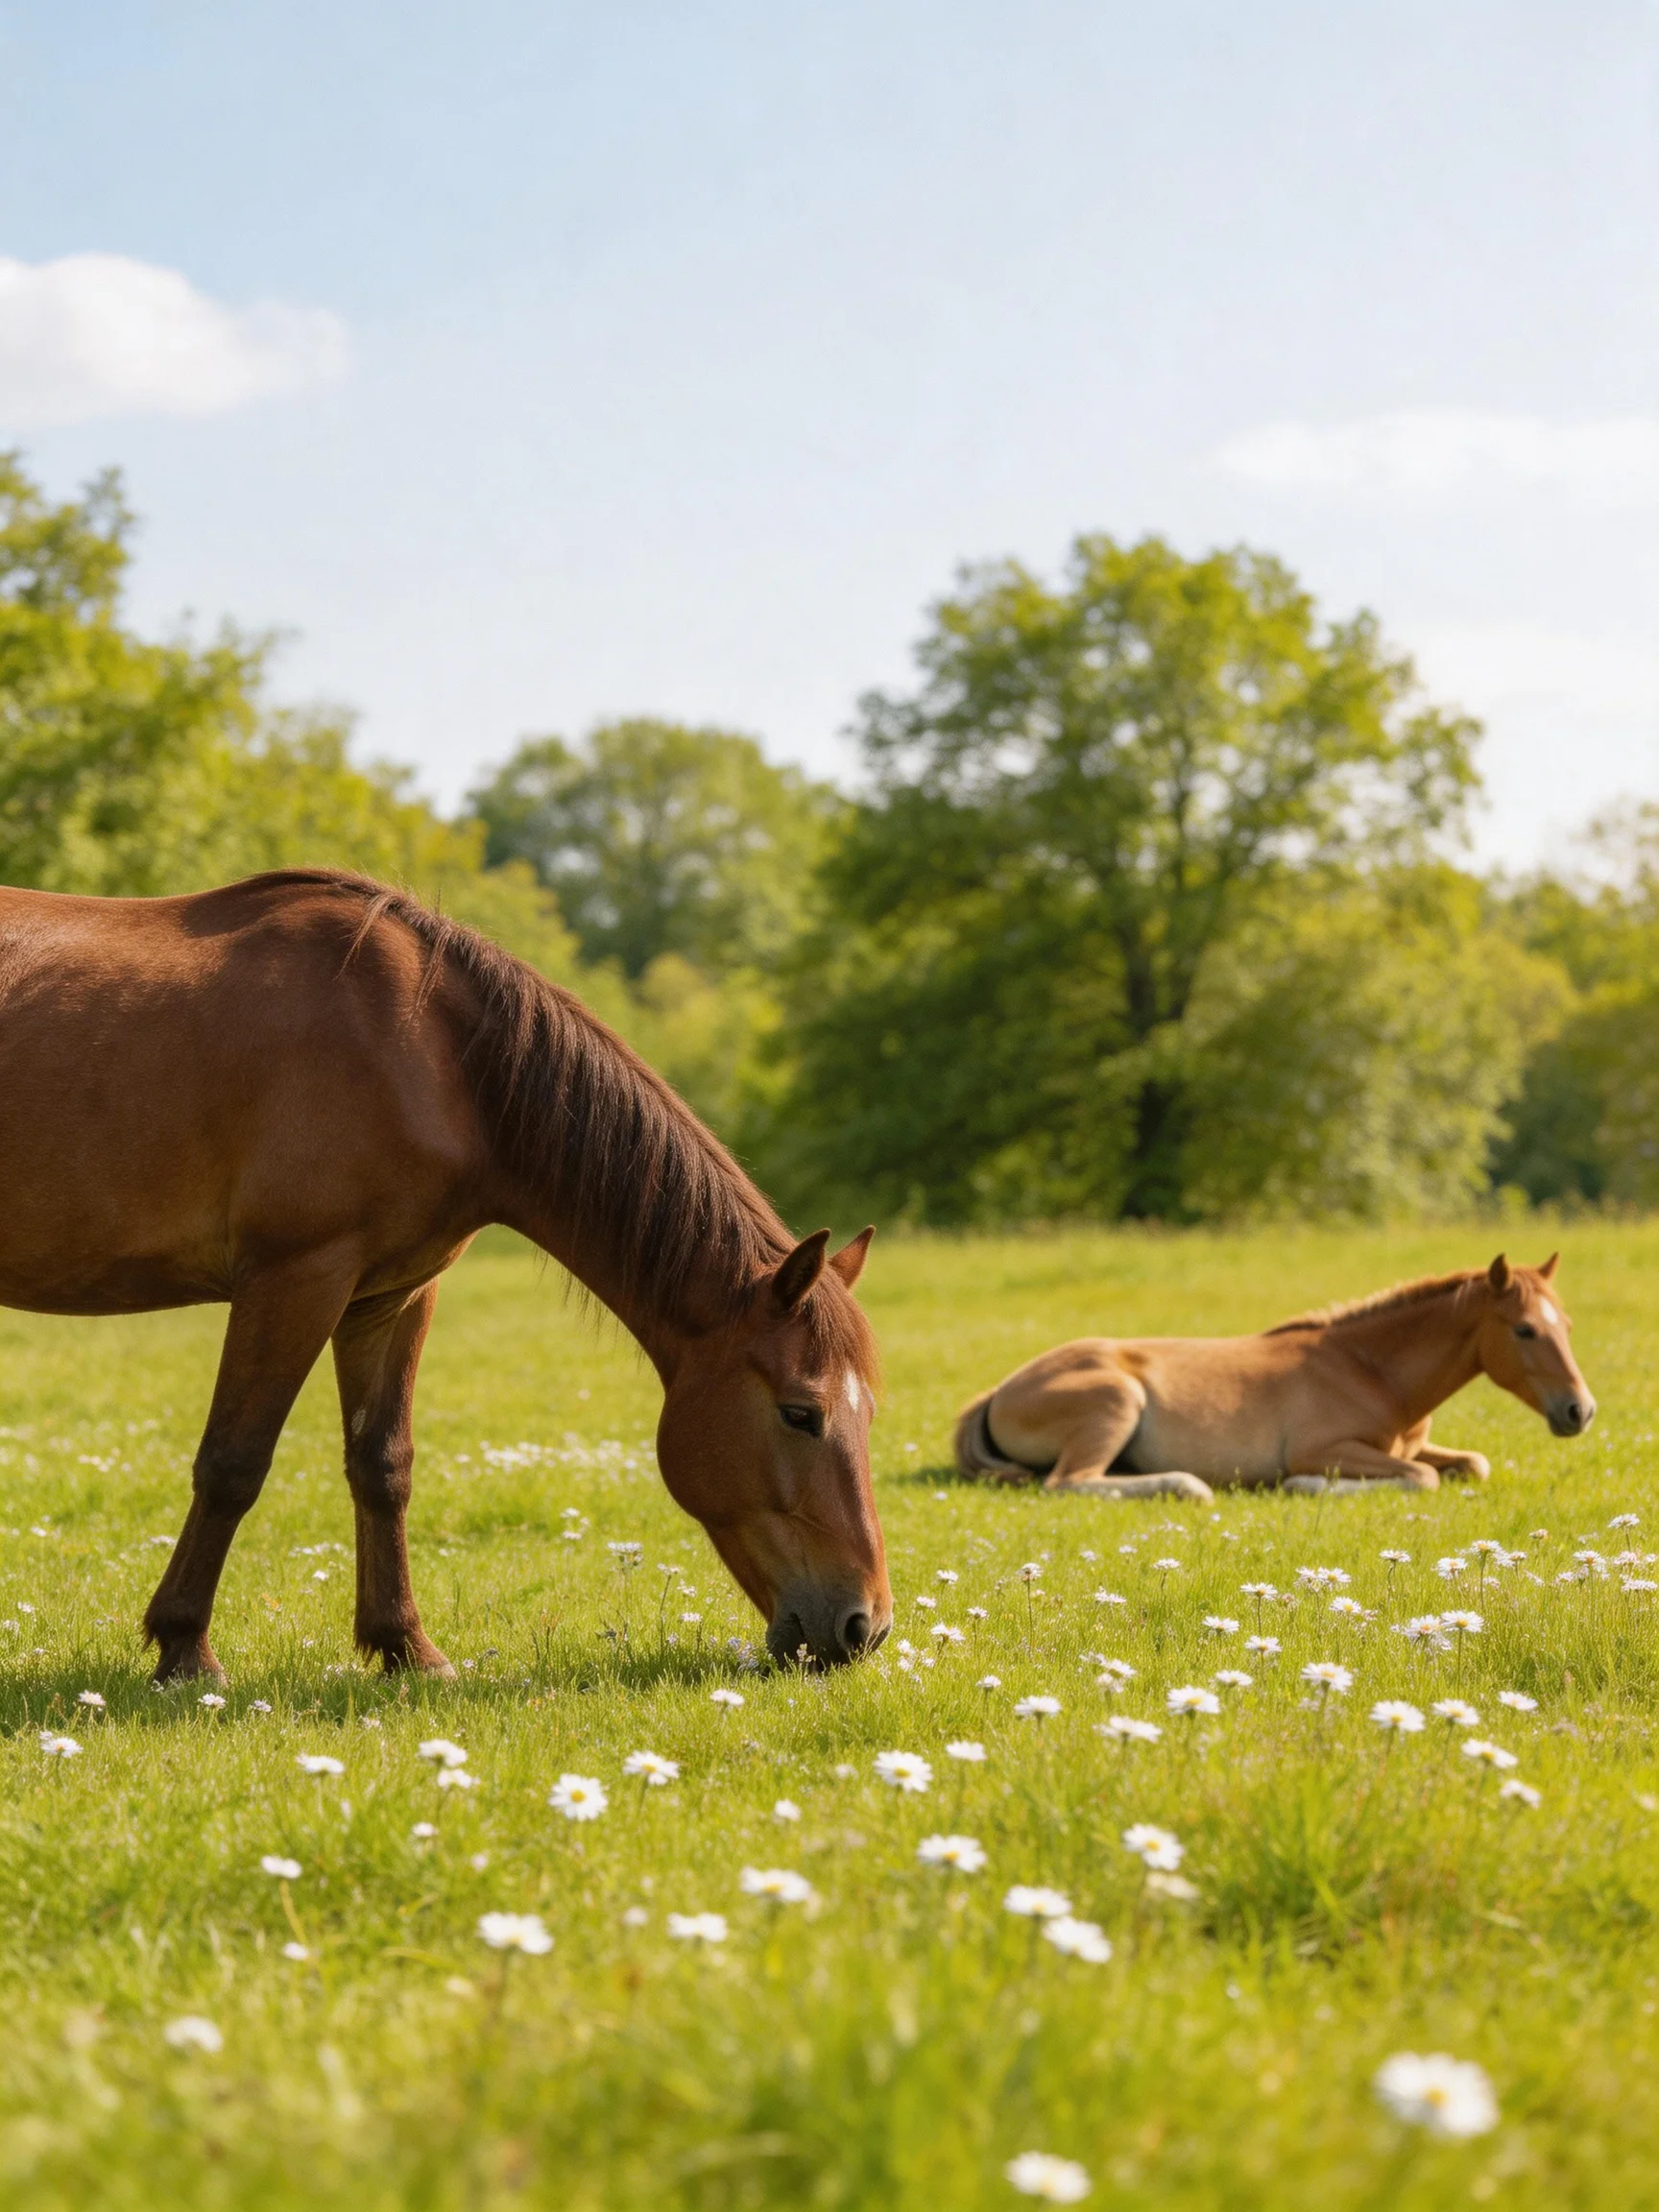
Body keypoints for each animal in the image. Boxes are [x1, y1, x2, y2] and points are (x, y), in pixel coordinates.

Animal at [0, 869, 889, 1679]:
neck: (431, 1055)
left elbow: (382, 1466)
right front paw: (185, 1648)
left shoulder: (388, 1296)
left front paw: (404, 1648)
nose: (864, 1626)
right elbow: (233, 1463)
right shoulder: (294, 1279)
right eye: (801, 1414)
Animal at [952, 1254, 1595, 1504]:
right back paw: (1187, 1484)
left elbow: (1469, 1464)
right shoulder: (1325, 1448)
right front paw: (1303, 1485)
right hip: (1117, 1398)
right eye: (1524, 1330)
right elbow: (1421, 1478)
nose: (1579, 1411)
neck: (1369, 1369)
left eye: (1566, 1324)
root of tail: (998, 1392)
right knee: (1069, 1482)